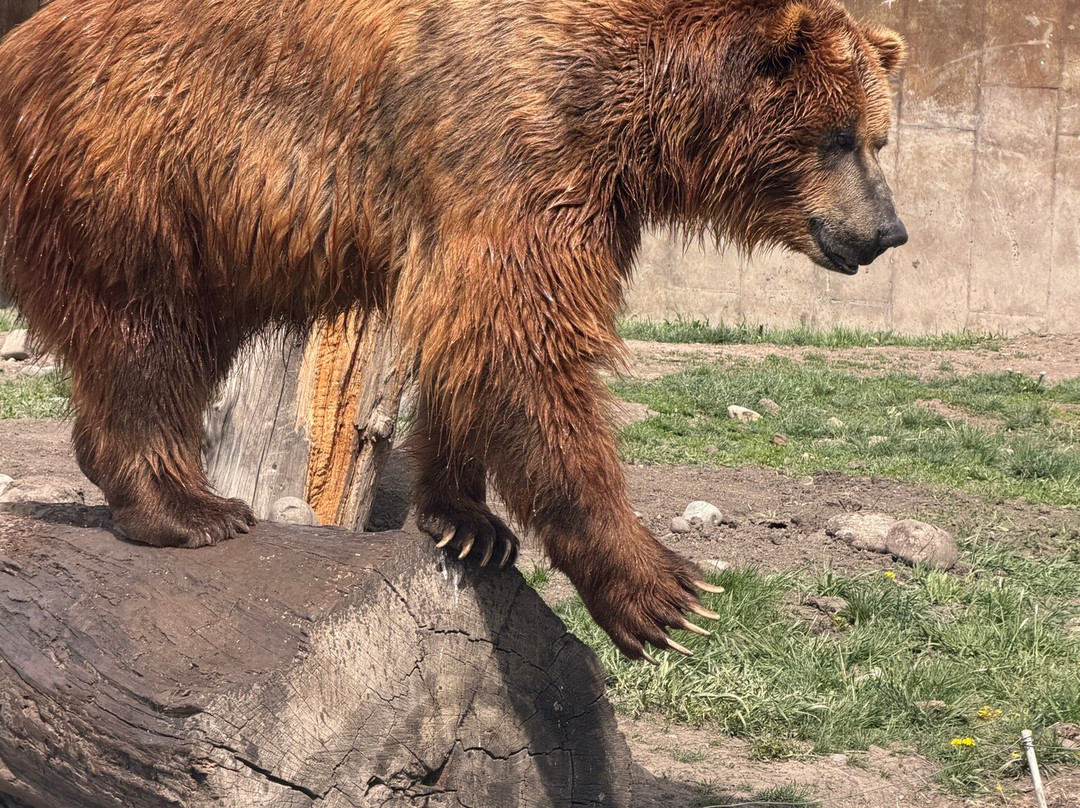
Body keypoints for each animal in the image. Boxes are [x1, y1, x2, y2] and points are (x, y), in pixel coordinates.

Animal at [0, 0, 907, 660]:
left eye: (878, 136)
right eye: (838, 138)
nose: (887, 231)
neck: (628, 110)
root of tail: (22, 44)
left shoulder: (570, 192)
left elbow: (473, 346)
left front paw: (469, 522)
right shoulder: (513, 145)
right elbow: (521, 342)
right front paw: (666, 593)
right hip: (144, 171)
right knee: (145, 334)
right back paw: (191, 509)